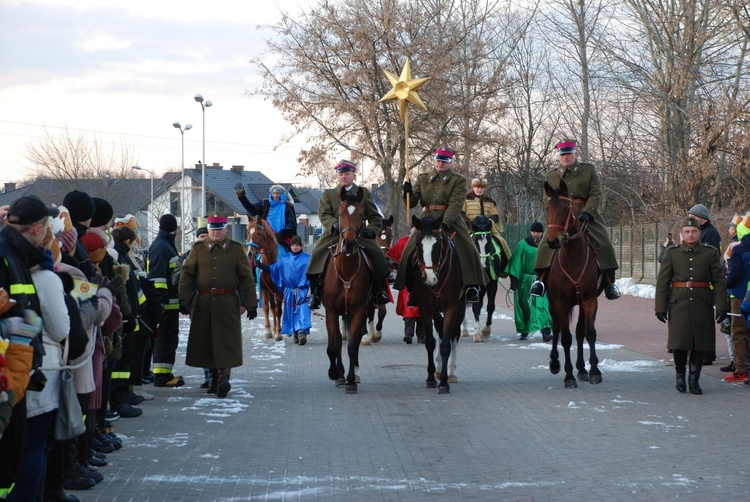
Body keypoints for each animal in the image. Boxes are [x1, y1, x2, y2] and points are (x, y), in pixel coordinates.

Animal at [322, 186, 374, 394]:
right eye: (340, 213)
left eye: (361, 215)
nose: (350, 243)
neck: (346, 270)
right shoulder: (331, 311)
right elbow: (334, 345)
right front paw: (336, 373)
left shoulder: (359, 310)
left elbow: (352, 346)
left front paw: (351, 380)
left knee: (355, 340)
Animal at [362, 214, 396, 348]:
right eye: (375, 234)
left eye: (391, 234)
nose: (383, 256)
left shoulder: (380, 290)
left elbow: (382, 312)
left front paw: (376, 334)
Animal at [408, 214, 468, 394]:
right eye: (418, 244)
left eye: (437, 244)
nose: (429, 278)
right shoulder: (426, 309)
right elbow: (430, 342)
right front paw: (430, 378)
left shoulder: (452, 308)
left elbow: (446, 344)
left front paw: (444, 383)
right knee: (441, 332)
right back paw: (440, 369)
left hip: (461, 308)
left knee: (454, 336)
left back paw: (451, 372)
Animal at [462, 214, 508, 344]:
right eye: (475, 242)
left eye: (489, 242)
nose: (483, 265)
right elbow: (476, 306)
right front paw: (477, 334)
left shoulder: (492, 283)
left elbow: (490, 306)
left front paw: (486, 329)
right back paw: (464, 329)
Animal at [544, 180, 608, 388]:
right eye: (547, 208)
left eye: (566, 208)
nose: (553, 241)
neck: (573, 258)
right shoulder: (560, 302)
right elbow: (565, 337)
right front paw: (568, 375)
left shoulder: (589, 300)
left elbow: (589, 332)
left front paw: (594, 371)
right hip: (551, 301)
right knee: (556, 328)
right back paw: (555, 363)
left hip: (580, 303)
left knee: (580, 332)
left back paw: (582, 369)